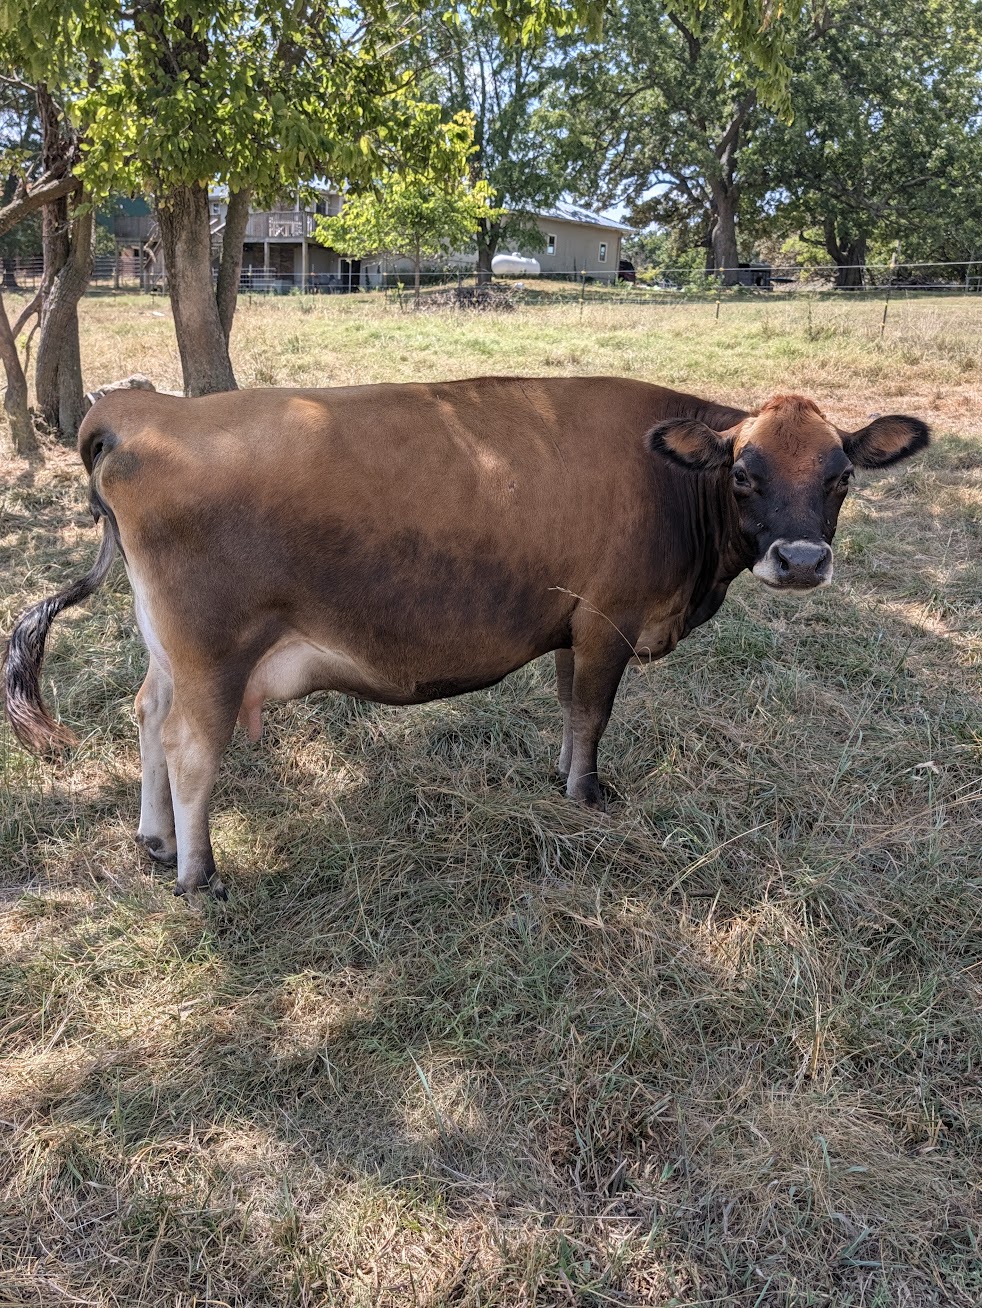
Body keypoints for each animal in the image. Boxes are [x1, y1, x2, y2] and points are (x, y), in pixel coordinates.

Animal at [3, 378, 929, 899]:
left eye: (842, 475)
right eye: (743, 472)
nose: (802, 560)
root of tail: (138, 410)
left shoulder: (571, 624)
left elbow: (568, 709)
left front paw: (561, 776)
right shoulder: (609, 619)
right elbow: (593, 714)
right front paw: (587, 796)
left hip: (169, 651)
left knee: (146, 716)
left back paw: (155, 841)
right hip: (212, 654)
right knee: (190, 748)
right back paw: (199, 874)